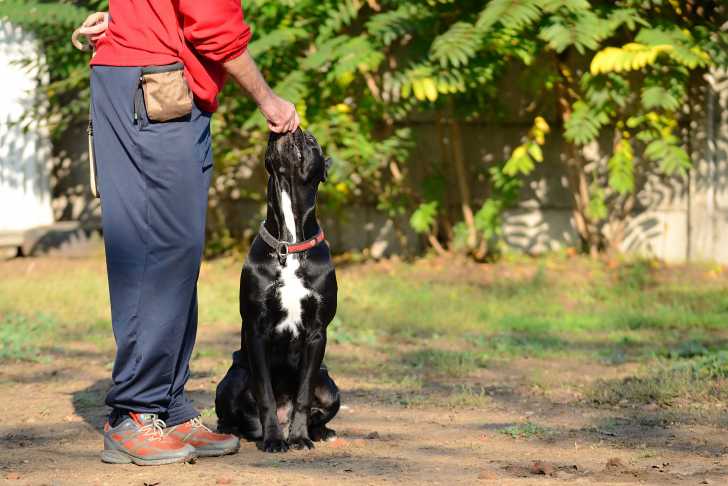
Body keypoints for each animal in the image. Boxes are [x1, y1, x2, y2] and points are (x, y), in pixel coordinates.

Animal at [215, 129, 340, 453]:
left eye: (313, 142)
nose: (295, 129)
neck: (290, 244)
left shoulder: (316, 333)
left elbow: (304, 395)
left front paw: (299, 438)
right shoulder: (256, 330)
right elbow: (266, 395)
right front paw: (273, 440)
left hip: (330, 386)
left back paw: (320, 431)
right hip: (232, 380)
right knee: (235, 413)